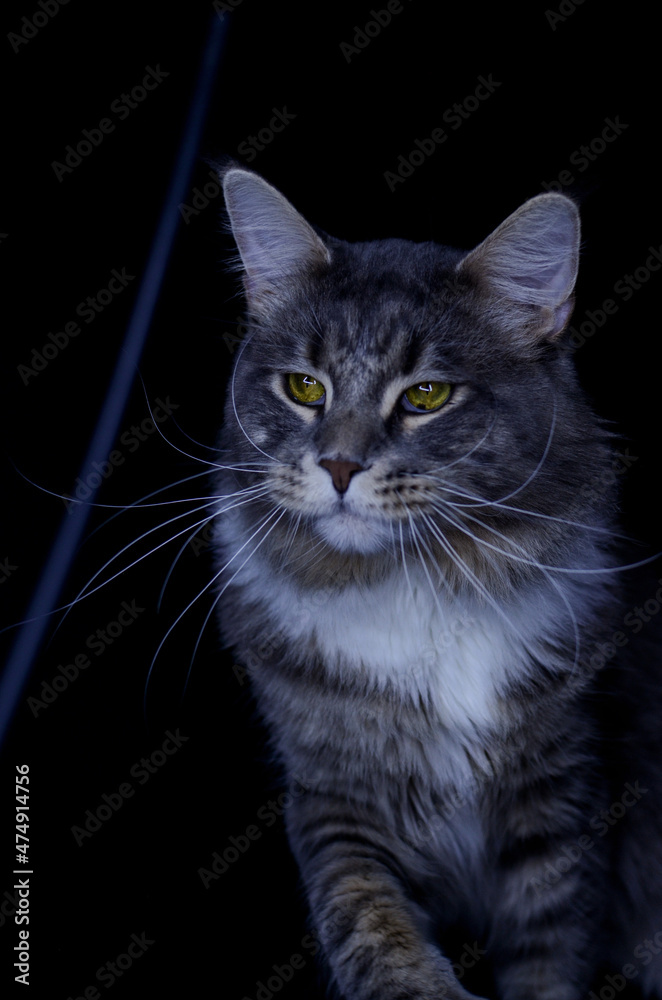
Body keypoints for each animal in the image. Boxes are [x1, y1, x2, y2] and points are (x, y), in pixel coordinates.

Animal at [213, 166, 662, 1000]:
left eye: (425, 397)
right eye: (304, 388)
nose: (339, 465)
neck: (416, 586)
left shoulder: (562, 803)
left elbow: (550, 959)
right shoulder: (334, 803)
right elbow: (371, 928)